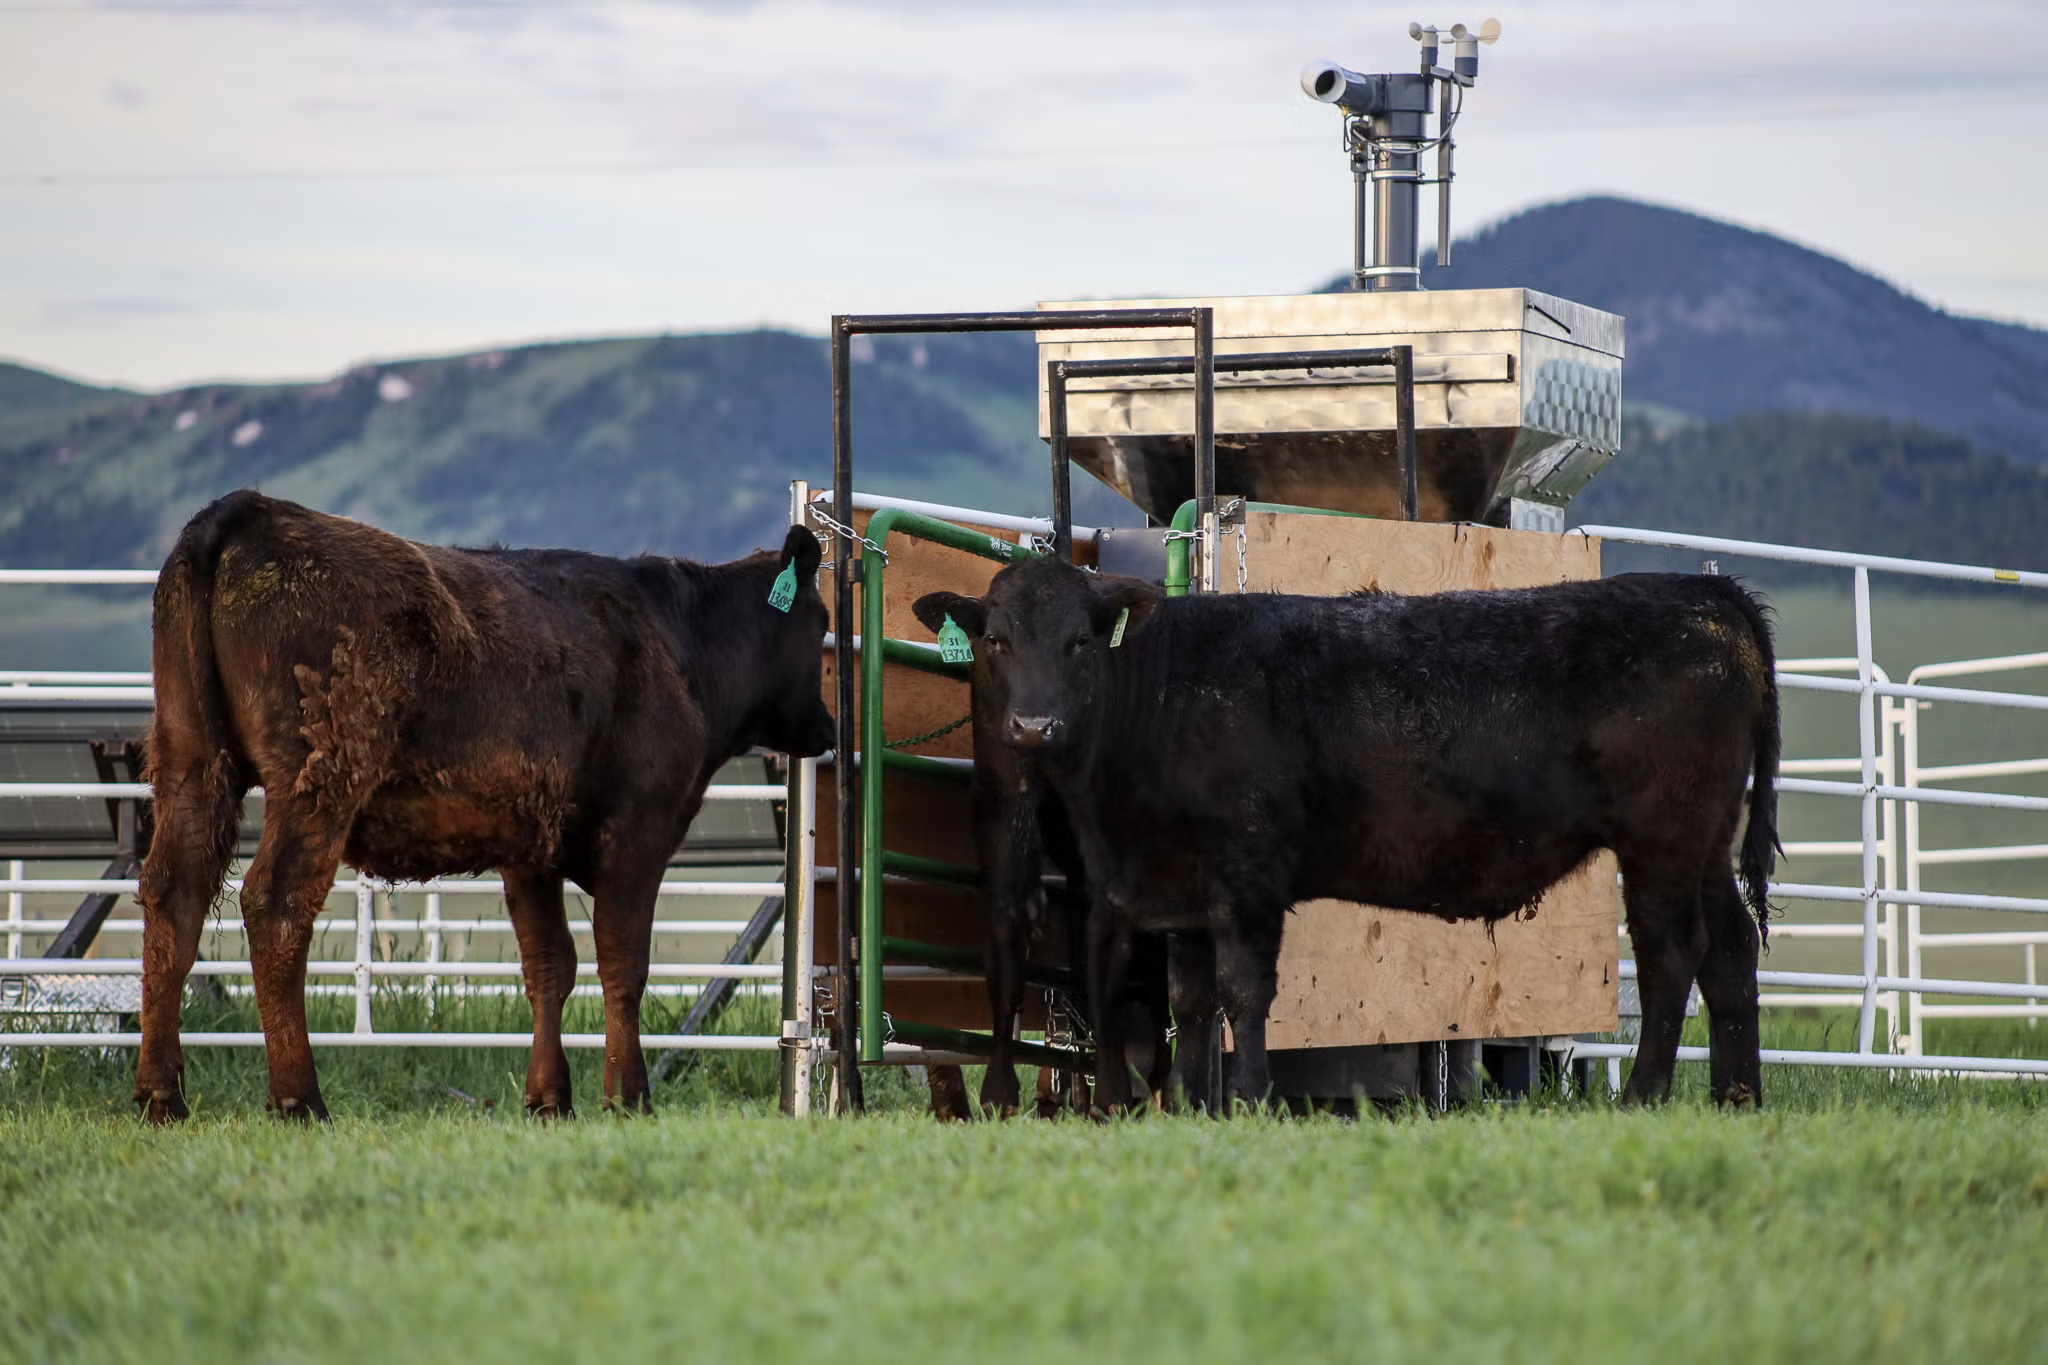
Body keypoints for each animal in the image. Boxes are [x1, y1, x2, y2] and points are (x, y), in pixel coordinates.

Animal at [135, 490, 834, 1123]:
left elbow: (550, 964)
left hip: (189, 760)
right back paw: (299, 1098)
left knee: (174, 894)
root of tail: (252, 508)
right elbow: (623, 963)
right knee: (276, 904)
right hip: (320, 777)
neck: (682, 643)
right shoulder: (639, 827)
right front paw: (628, 1095)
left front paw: (549, 1098)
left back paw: (160, 1096)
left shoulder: (530, 849)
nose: (829, 729)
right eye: (823, 625)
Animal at [913, 556, 1781, 1114]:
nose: (1034, 726)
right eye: (997, 641)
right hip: (1705, 841)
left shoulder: (1247, 876)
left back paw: (1644, 1094)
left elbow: (1242, 991)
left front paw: (1251, 1097)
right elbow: (1191, 1000)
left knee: (1674, 952)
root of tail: (1703, 591)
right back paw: (1737, 1096)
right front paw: (1192, 1104)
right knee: (1732, 949)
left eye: (1080, 642)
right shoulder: (1182, 888)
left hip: (1662, 837)